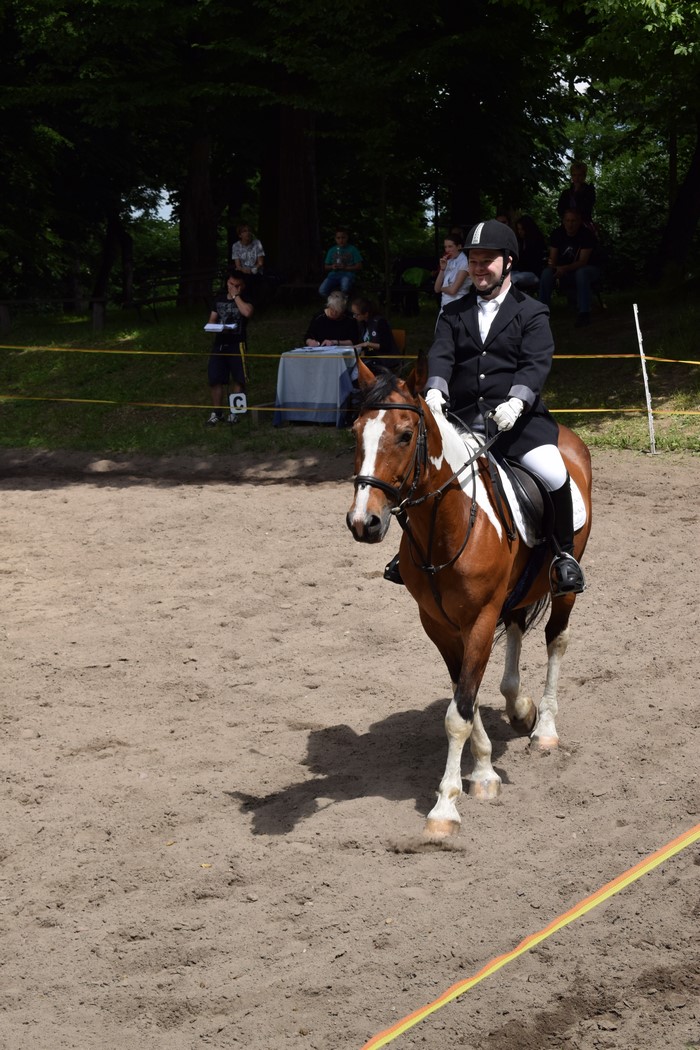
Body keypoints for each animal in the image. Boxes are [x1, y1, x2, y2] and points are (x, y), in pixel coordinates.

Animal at [346, 356, 592, 839]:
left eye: (405, 434)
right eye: (356, 430)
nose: (363, 522)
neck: (447, 524)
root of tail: (568, 436)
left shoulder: (478, 619)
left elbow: (458, 711)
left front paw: (446, 806)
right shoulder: (439, 624)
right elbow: (466, 694)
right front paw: (482, 771)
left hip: (562, 587)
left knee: (556, 640)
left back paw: (545, 729)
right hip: (515, 591)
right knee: (516, 627)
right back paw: (518, 706)